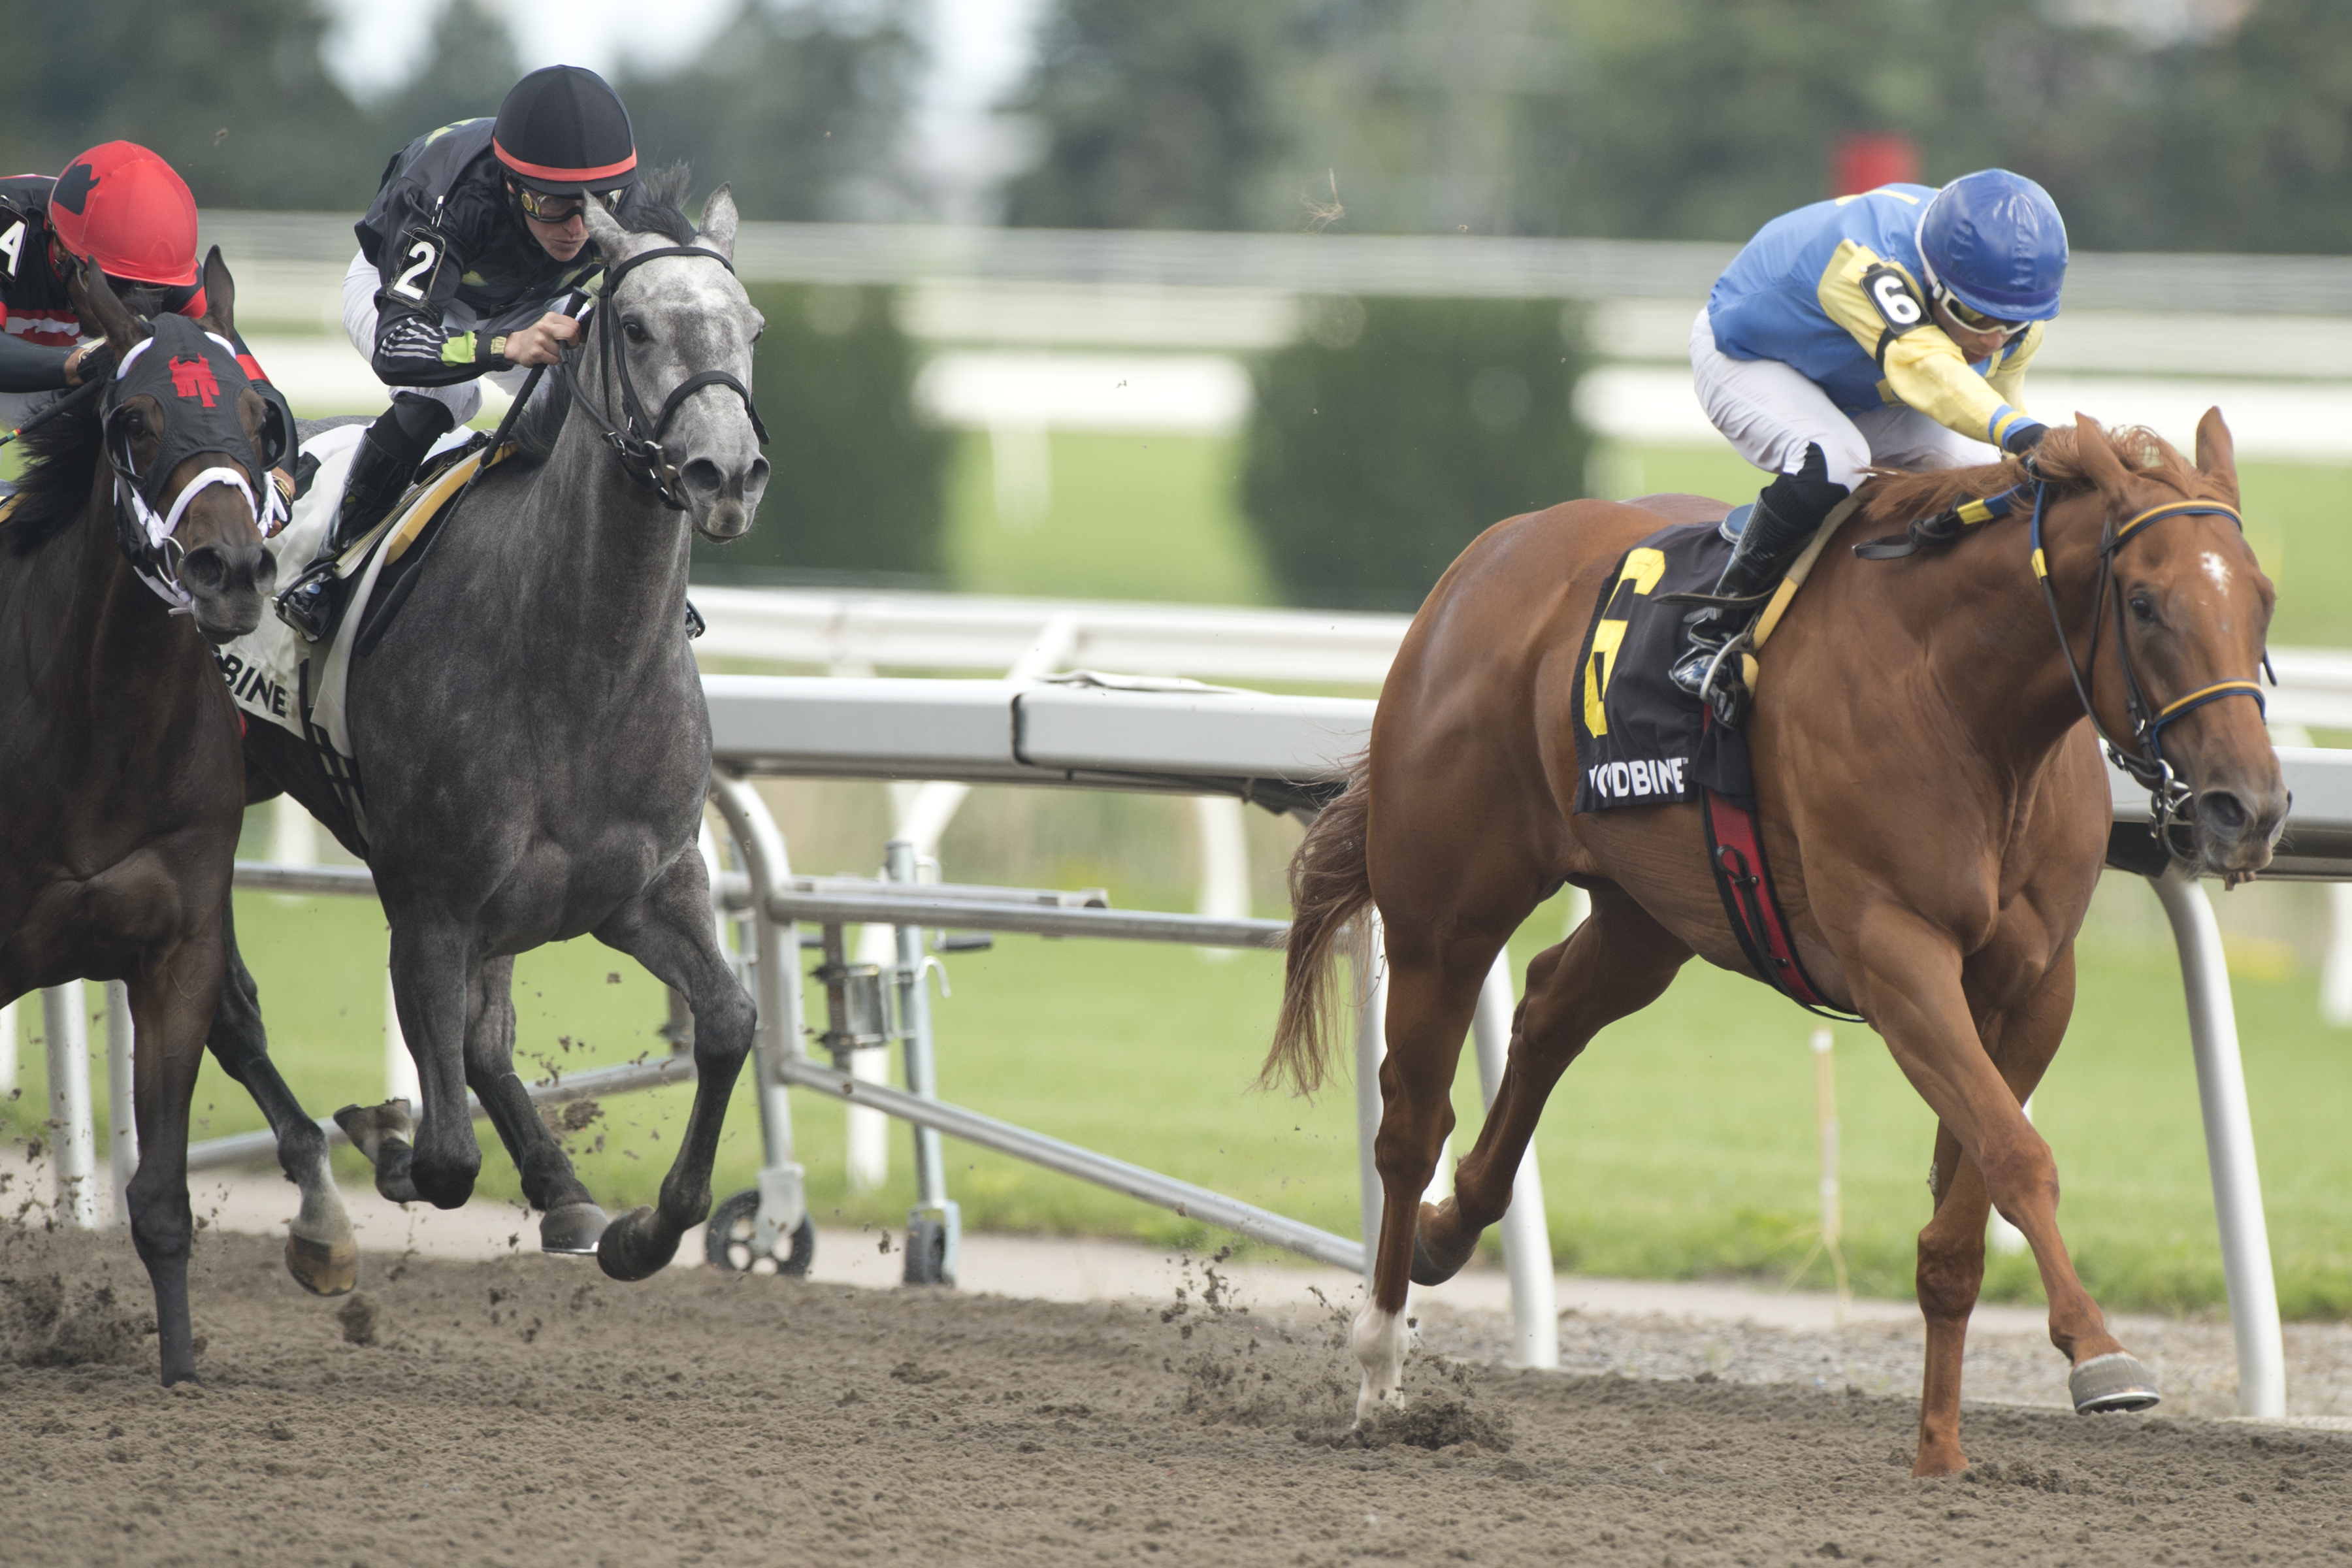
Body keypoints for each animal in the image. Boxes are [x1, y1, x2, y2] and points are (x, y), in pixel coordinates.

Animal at [0, 255, 289, 1382]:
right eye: (133, 420)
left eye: (261, 413)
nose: (231, 571)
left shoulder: (179, 947)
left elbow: (162, 1200)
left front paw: (180, 1370)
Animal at [221, 171, 771, 1279]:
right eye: (636, 327)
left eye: (752, 329)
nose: (727, 475)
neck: (583, 662)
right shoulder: (431, 903)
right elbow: (443, 1158)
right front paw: (387, 1139)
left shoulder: (647, 883)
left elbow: (729, 1024)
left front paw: (643, 1229)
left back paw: (562, 1196)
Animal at [1270, 411, 2276, 1476]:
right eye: (2145, 603)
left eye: (2263, 601)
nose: (2249, 808)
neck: (1965, 704)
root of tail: (1489, 556)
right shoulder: (1894, 955)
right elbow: (2017, 1154)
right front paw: (2098, 1351)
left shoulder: (2035, 984)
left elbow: (1962, 1212)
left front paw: (1941, 1451)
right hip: (1444, 915)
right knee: (1411, 1124)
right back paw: (1381, 1371)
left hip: (1649, 917)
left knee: (1548, 1008)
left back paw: (1448, 1228)